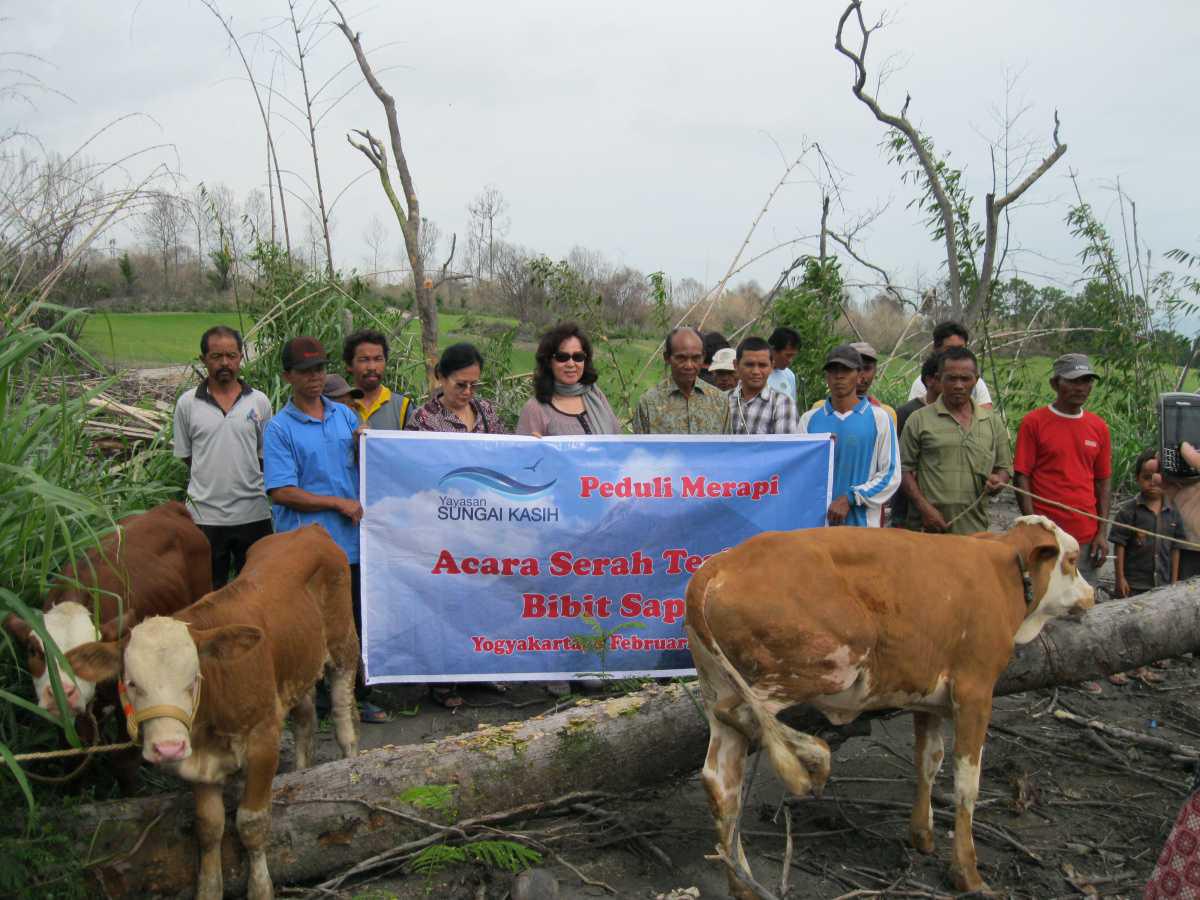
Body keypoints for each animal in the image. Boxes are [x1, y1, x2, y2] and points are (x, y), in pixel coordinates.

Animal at [68, 525, 357, 900]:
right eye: (130, 682)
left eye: (194, 677)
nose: (168, 747)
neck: (209, 720)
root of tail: (310, 530)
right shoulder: (199, 763)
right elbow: (208, 828)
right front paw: (209, 888)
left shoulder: (264, 739)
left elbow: (251, 822)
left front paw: (260, 888)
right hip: (297, 666)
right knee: (305, 717)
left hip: (344, 645)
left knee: (342, 712)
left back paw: (352, 760)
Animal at [686, 518, 1099, 897]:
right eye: (1072, 559)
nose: (1092, 594)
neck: (1005, 573)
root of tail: (721, 563)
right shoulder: (975, 691)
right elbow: (967, 783)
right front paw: (967, 873)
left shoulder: (929, 698)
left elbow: (928, 761)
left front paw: (922, 835)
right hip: (829, 664)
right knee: (742, 711)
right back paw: (814, 757)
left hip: (717, 682)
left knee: (721, 782)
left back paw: (743, 882)